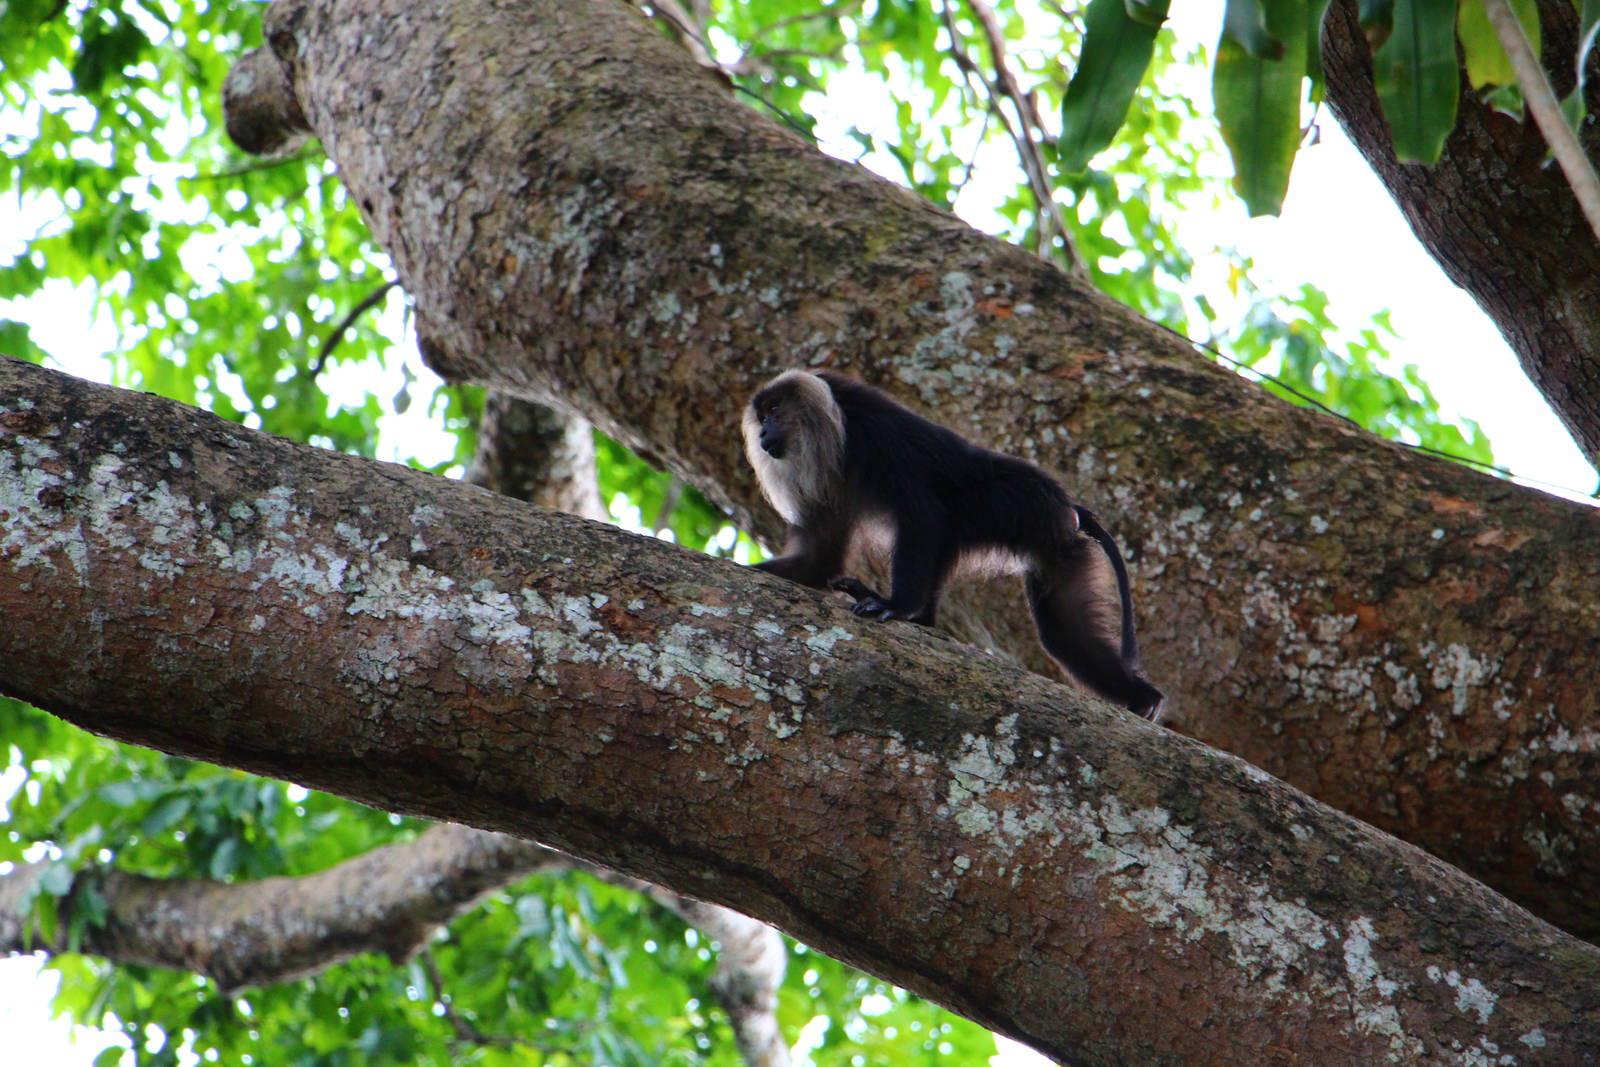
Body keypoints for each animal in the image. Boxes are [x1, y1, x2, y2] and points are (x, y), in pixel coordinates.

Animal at [743, 369, 1163, 718]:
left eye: (775, 411)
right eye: (762, 418)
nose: (763, 434)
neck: (838, 426)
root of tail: (1066, 505)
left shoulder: (877, 440)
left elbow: (923, 515)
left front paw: (895, 605)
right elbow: (819, 560)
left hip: (1017, 505)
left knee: (949, 517)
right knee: (1063, 631)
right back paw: (1143, 699)